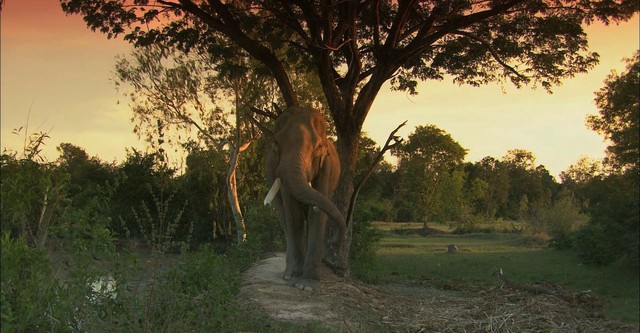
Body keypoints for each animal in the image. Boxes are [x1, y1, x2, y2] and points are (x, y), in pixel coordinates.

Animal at [264, 107, 348, 290]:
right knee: (283, 216)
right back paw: (288, 274)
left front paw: (307, 285)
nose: (333, 240)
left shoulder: (326, 168)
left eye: (319, 147)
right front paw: (296, 279)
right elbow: (292, 213)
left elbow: (316, 215)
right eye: (276, 143)